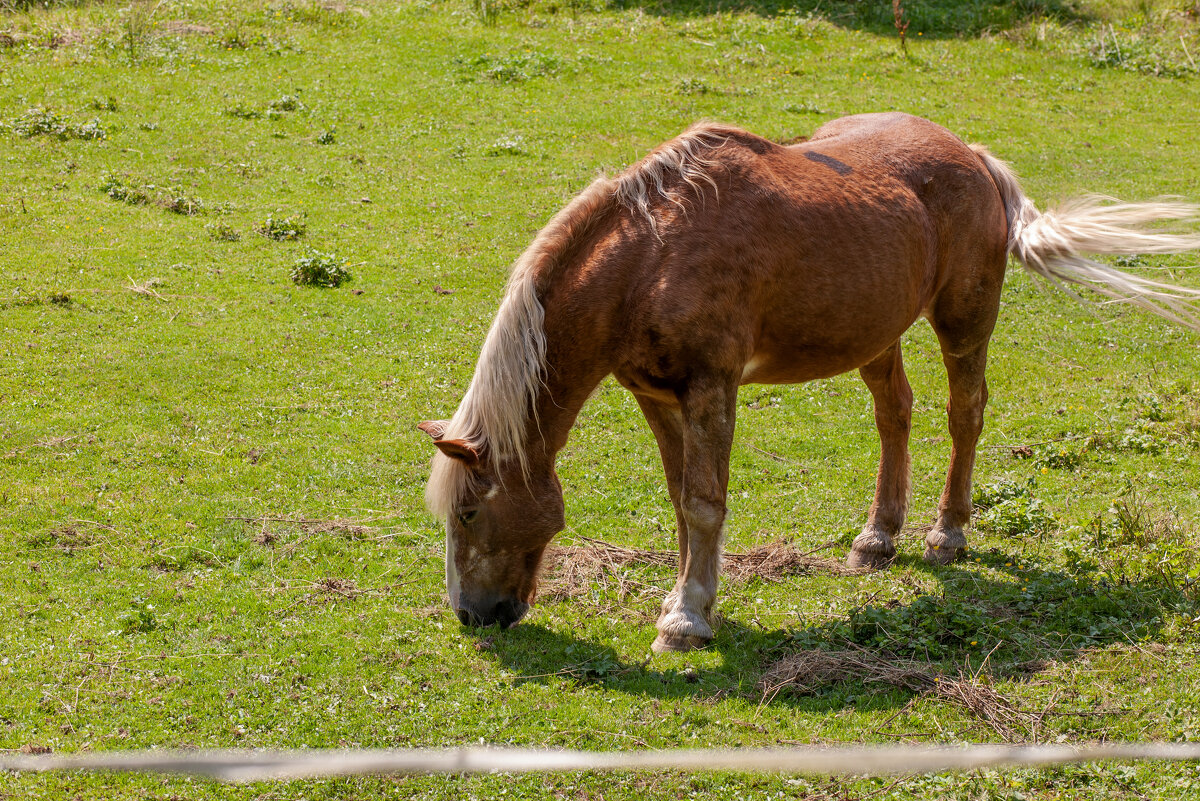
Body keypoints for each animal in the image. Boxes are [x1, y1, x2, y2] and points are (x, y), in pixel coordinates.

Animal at [420, 110, 1200, 652]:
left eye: (469, 512)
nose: (470, 616)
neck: (650, 259)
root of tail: (972, 157)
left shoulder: (712, 388)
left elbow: (703, 502)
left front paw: (687, 619)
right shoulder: (655, 394)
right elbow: (680, 499)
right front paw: (683, 599)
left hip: (964, 322)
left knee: (964, 414)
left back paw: (947, 533)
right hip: (875, 334)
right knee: (895, 415)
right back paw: (877, 538)